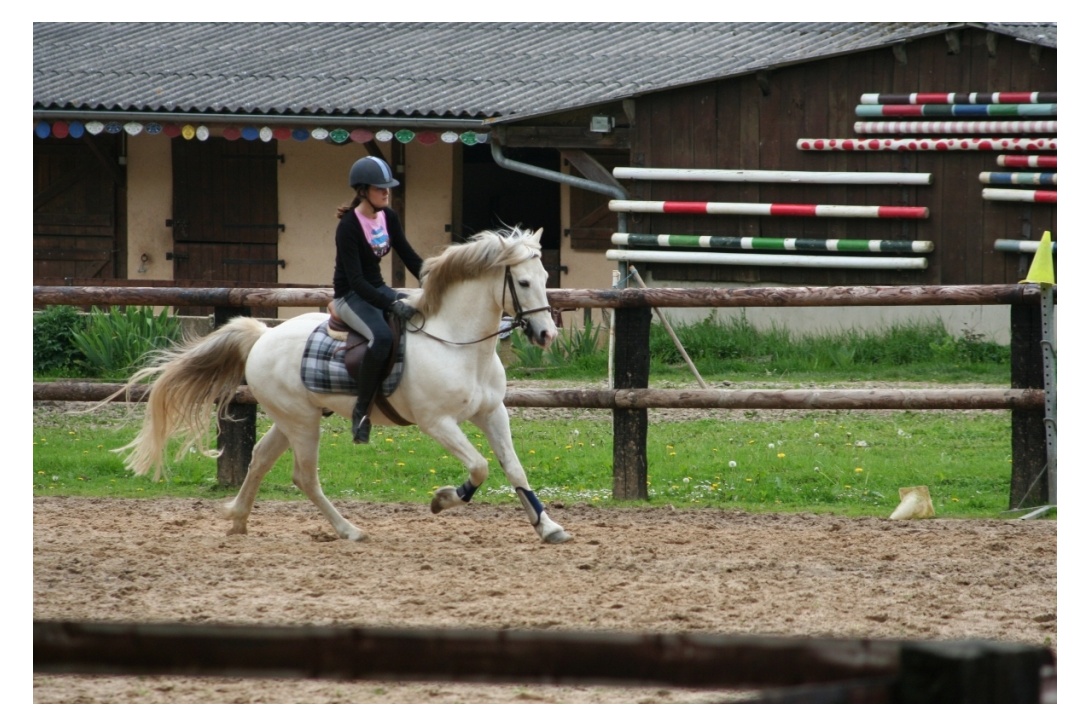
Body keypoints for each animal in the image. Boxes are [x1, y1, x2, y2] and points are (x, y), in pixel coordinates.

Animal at [111, 229, 575, 542]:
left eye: (546, 275)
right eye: (523, 282)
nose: (546, 334)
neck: (456, 343)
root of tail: (262, 336)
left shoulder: (491, 413)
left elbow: (514, 467)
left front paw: (548, 526)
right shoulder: (437, 422)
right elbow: (479, 467)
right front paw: (442, 499)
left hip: (291, 419)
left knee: (260, 459)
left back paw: (238, 519)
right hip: (302, 423)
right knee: (304, 477)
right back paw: (349, 530)